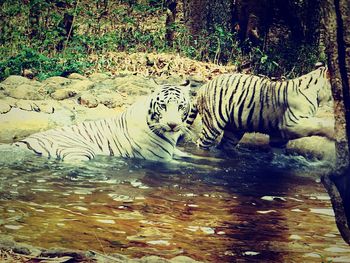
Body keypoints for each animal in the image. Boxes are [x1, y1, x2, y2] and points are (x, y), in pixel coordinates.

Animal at [13, 81, 193, 162]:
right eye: (163, 106)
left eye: (180, 106)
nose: (173, 125)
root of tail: (21, 144)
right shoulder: (160, 158)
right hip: (80, 150)